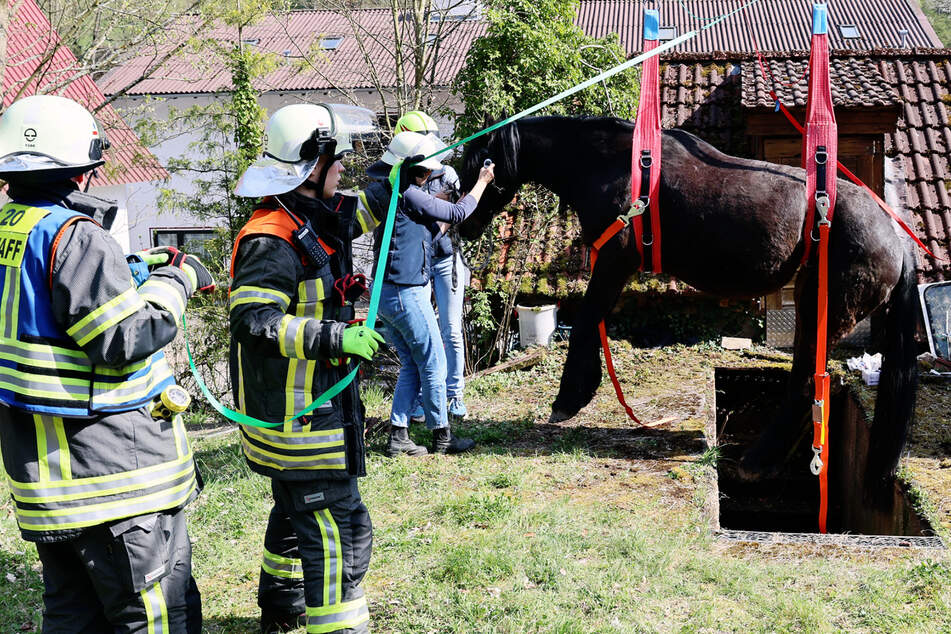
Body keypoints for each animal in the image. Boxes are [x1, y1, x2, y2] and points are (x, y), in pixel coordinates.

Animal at [457, 115, 918, 485]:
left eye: (476, 167)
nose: (464, 224)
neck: (613, 168)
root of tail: (894, 237)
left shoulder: (615, 262)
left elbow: (587, 320)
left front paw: (570, 398)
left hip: (822, 309)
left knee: (806, 382)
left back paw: (756, 461)